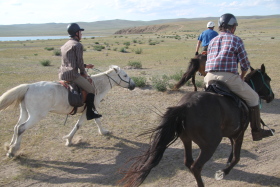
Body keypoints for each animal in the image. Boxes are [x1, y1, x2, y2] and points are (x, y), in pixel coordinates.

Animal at [0, 65, 136, 157]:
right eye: (125, 75)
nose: (133, 85)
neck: (97, 86)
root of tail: (28, 87)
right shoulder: (88, 110)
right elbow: (79, 125)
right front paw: (69, 140)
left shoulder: (92, 109)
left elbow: (97, 120)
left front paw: (103, 132)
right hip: (35, 116)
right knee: (21, 128)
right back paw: (13, 150)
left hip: (25, 113)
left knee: (16, 127)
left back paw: (9, 146)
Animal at [120, 64, 274, 187]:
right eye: (268, 79)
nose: (271, 96)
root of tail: (185, 106)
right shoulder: (239, 134)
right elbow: (237, 157)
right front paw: (223, 172)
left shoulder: (232, 133)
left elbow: (232, 153)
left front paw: (227, 163)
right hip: (210, 145)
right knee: (196, 166)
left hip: (186, 139)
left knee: (188, 162)